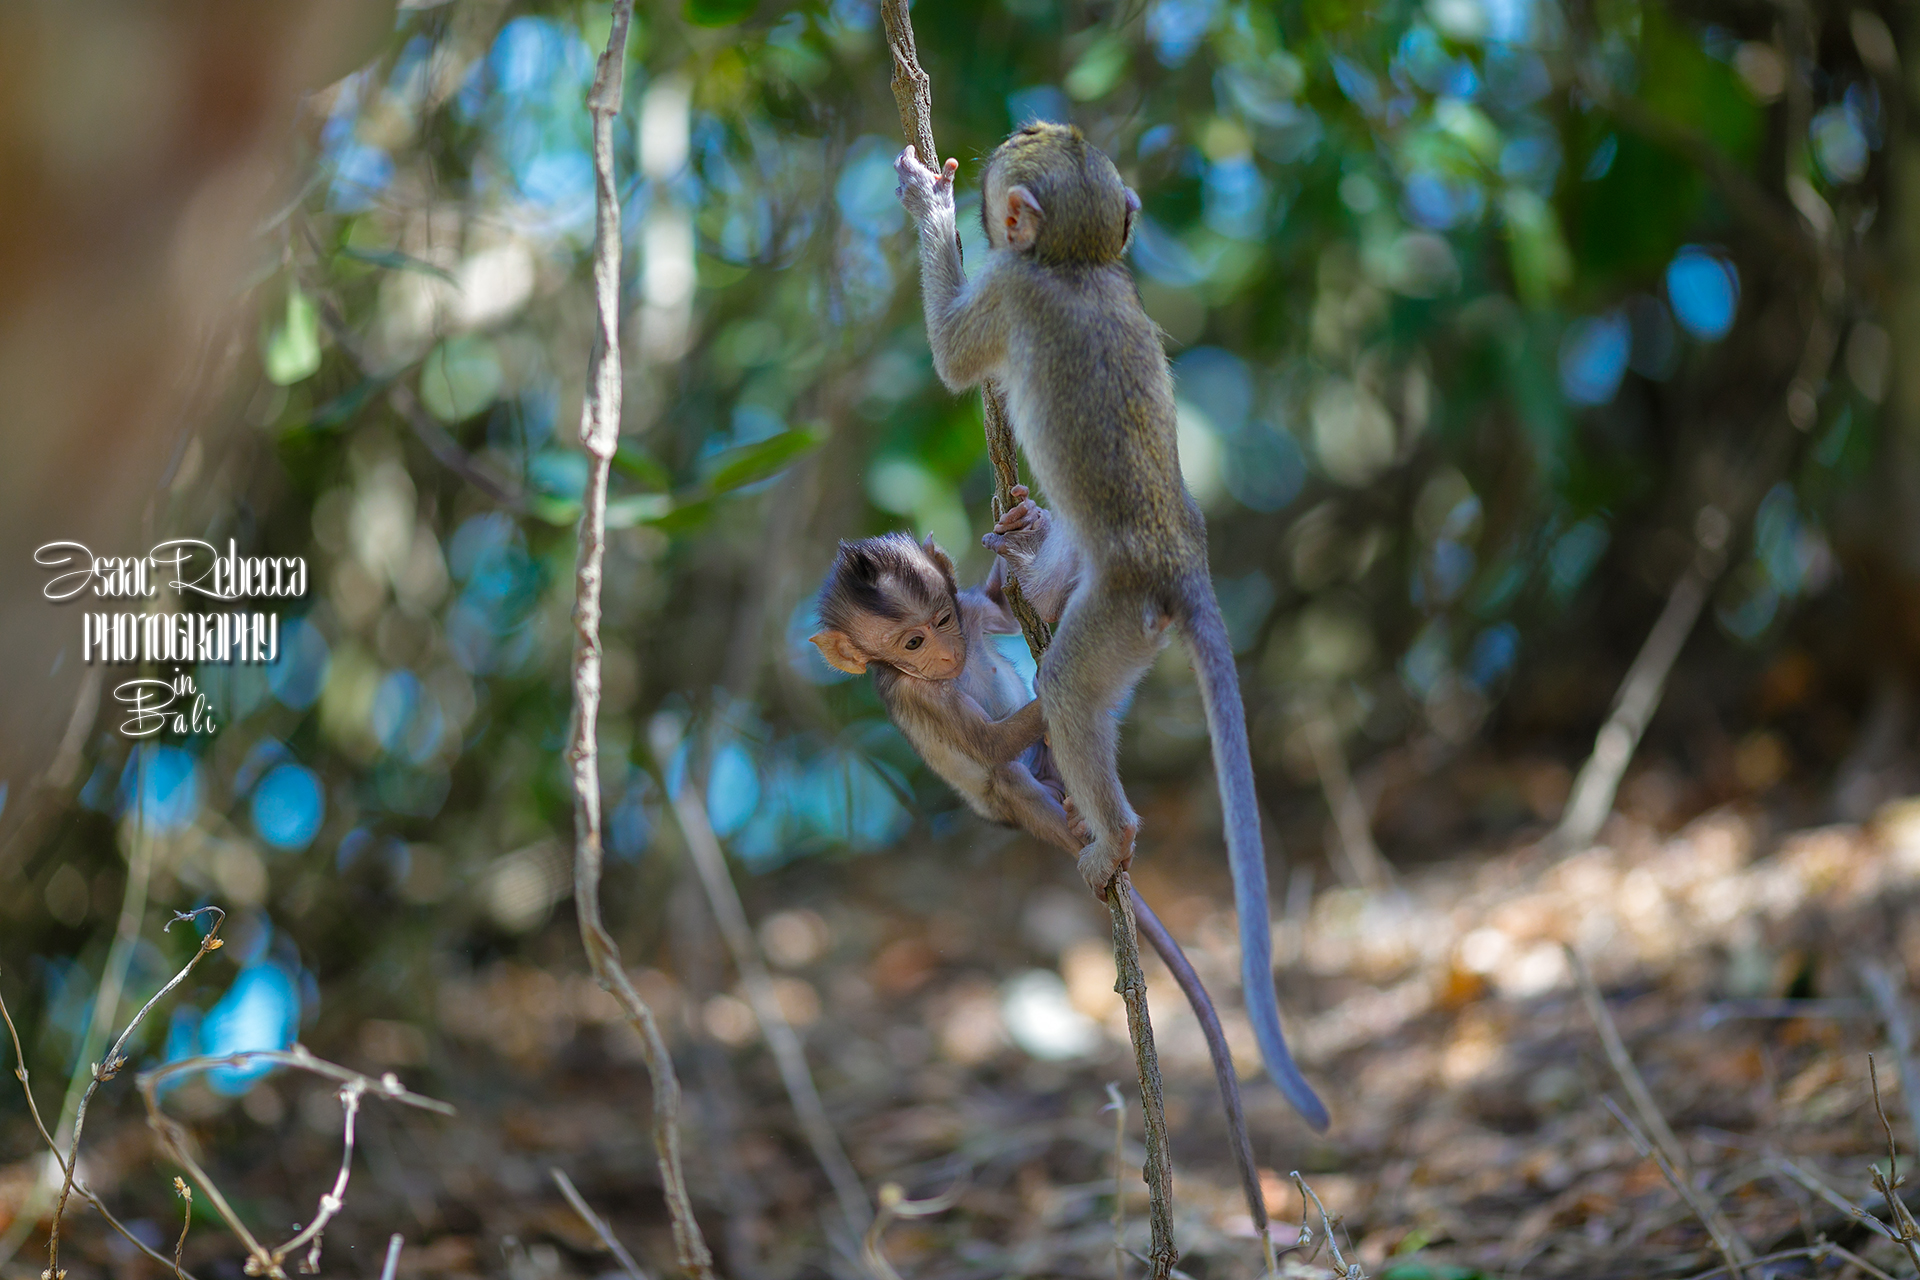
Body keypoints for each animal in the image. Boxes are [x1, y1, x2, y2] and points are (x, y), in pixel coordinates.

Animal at [890, 124, 1328, 1128]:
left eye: (1023, 144)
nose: (1020, 126)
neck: (1079, 266)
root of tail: (1181, 560)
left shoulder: (1010, 288)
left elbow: (952, 361)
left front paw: (931, 202)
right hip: (1129, 618)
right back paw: (1029, 563)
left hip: (1120, 617)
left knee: (1064, 687)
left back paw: (1115, 834)